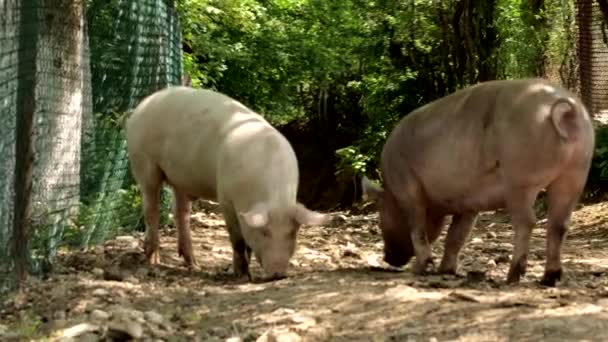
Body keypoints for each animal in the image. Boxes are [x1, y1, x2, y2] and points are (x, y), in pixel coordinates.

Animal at [123, 85, 328, 280]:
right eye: (264, 232)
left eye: (292, 232)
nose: (278, 273)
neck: (271, 196)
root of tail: (141, 106)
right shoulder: (226, 198)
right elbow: (237, 240)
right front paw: (241, 275)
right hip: (143, 161)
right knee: (151, 208)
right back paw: (153, 261)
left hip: (180, 178)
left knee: (181, 212)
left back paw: (195, 266)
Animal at [360, 78, 592, 286]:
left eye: (381, 217)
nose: (387, 257)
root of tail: (565, 108)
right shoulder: (468, 205)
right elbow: (456, 236)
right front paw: (446, 271)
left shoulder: (407, 189)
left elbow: (418, 229)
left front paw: (421, 269)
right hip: (576, 172)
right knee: (559, 224)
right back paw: (549, 279)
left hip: (520, 178)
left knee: (527, 221)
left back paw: (512, 277)